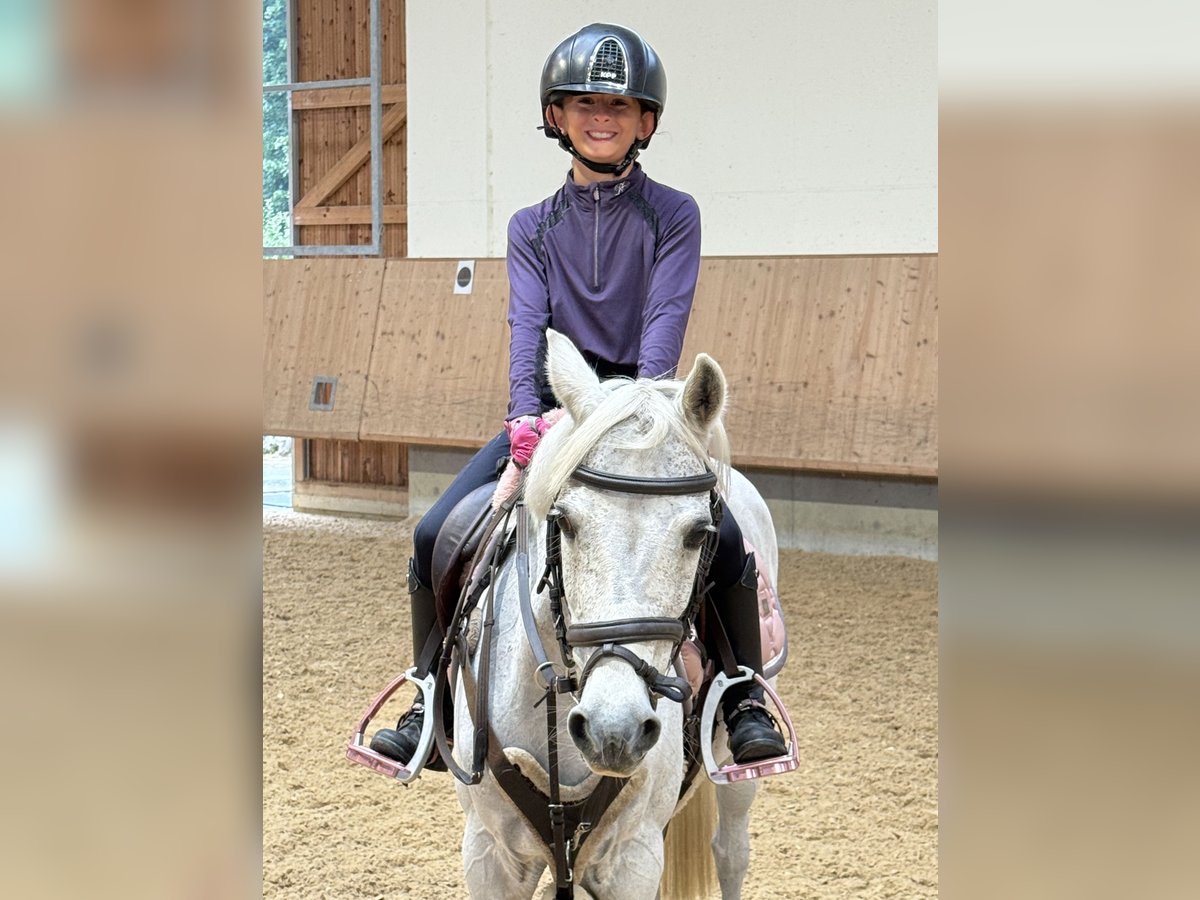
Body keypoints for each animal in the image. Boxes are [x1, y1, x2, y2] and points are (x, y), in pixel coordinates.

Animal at [440, 330, 786, 899]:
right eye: (565, 521)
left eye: (699, 533)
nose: (613, 730)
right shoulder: (489, 855)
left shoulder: (632, 859)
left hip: (735, 765)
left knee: (731, 852)